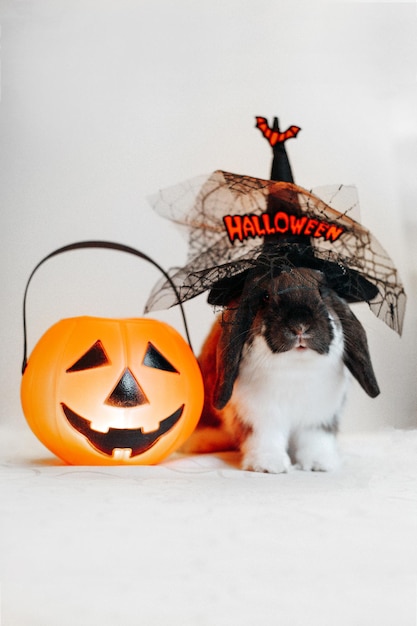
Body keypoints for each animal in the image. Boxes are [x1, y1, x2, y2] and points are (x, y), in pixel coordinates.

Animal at [183, 260, 380, 470]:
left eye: (322, 292)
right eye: (265, 297)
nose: (300, 325)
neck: (295, 370)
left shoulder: (319, 418)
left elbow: (316, 441)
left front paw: (319, 464)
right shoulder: (258, 417)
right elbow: (265, 439)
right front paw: (269, 465)